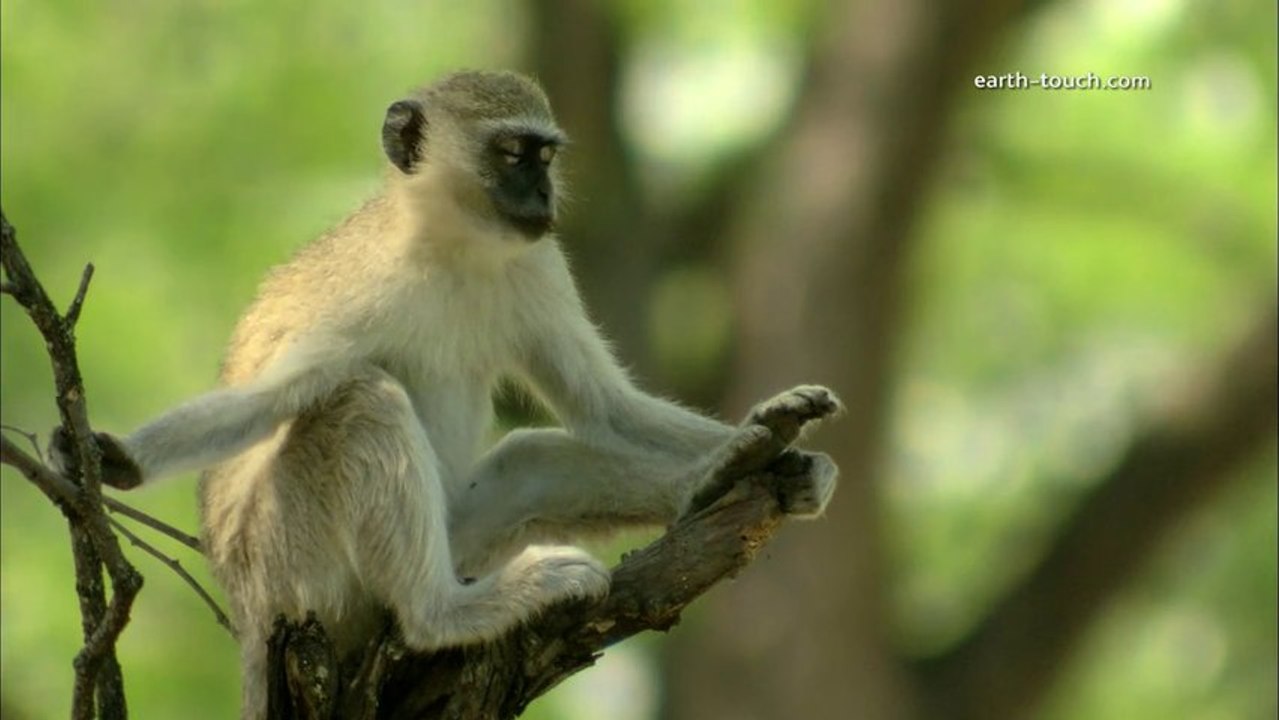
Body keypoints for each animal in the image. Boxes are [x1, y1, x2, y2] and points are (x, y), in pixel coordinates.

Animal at [50, 70, 840, 719]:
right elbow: (267, 400)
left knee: (532, 461)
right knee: (363, 402)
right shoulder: (359, 295)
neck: (455, 245)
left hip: (453, 537)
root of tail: (247, 614)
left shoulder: (537, 264)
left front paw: (769, 435)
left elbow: (603, 405)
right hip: (293, 570)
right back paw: (444, 614)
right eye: (513, 153)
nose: (543, 195)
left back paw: (722, 478)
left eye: (545, 157)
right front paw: (109, 457)